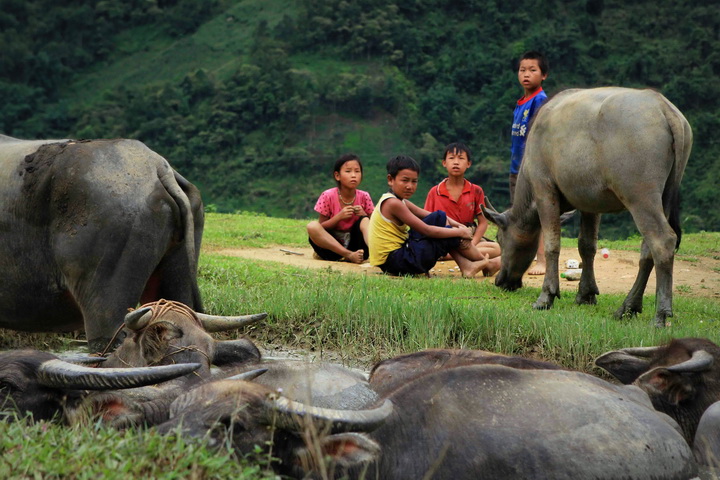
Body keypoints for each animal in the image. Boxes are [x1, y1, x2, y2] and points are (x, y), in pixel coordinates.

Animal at [484, 87, 692, 326]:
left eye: (499, 238)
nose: (500, 280)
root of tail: (664, 107)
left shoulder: (545, 190)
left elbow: (552, 244)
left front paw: (546, 296)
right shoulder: (590, 204)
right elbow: (587, 246)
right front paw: (586, 294)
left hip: (641, 197)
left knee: (662, 241)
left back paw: (661, 314)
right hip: (664, 197)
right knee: (647, 250)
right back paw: (628, 307)